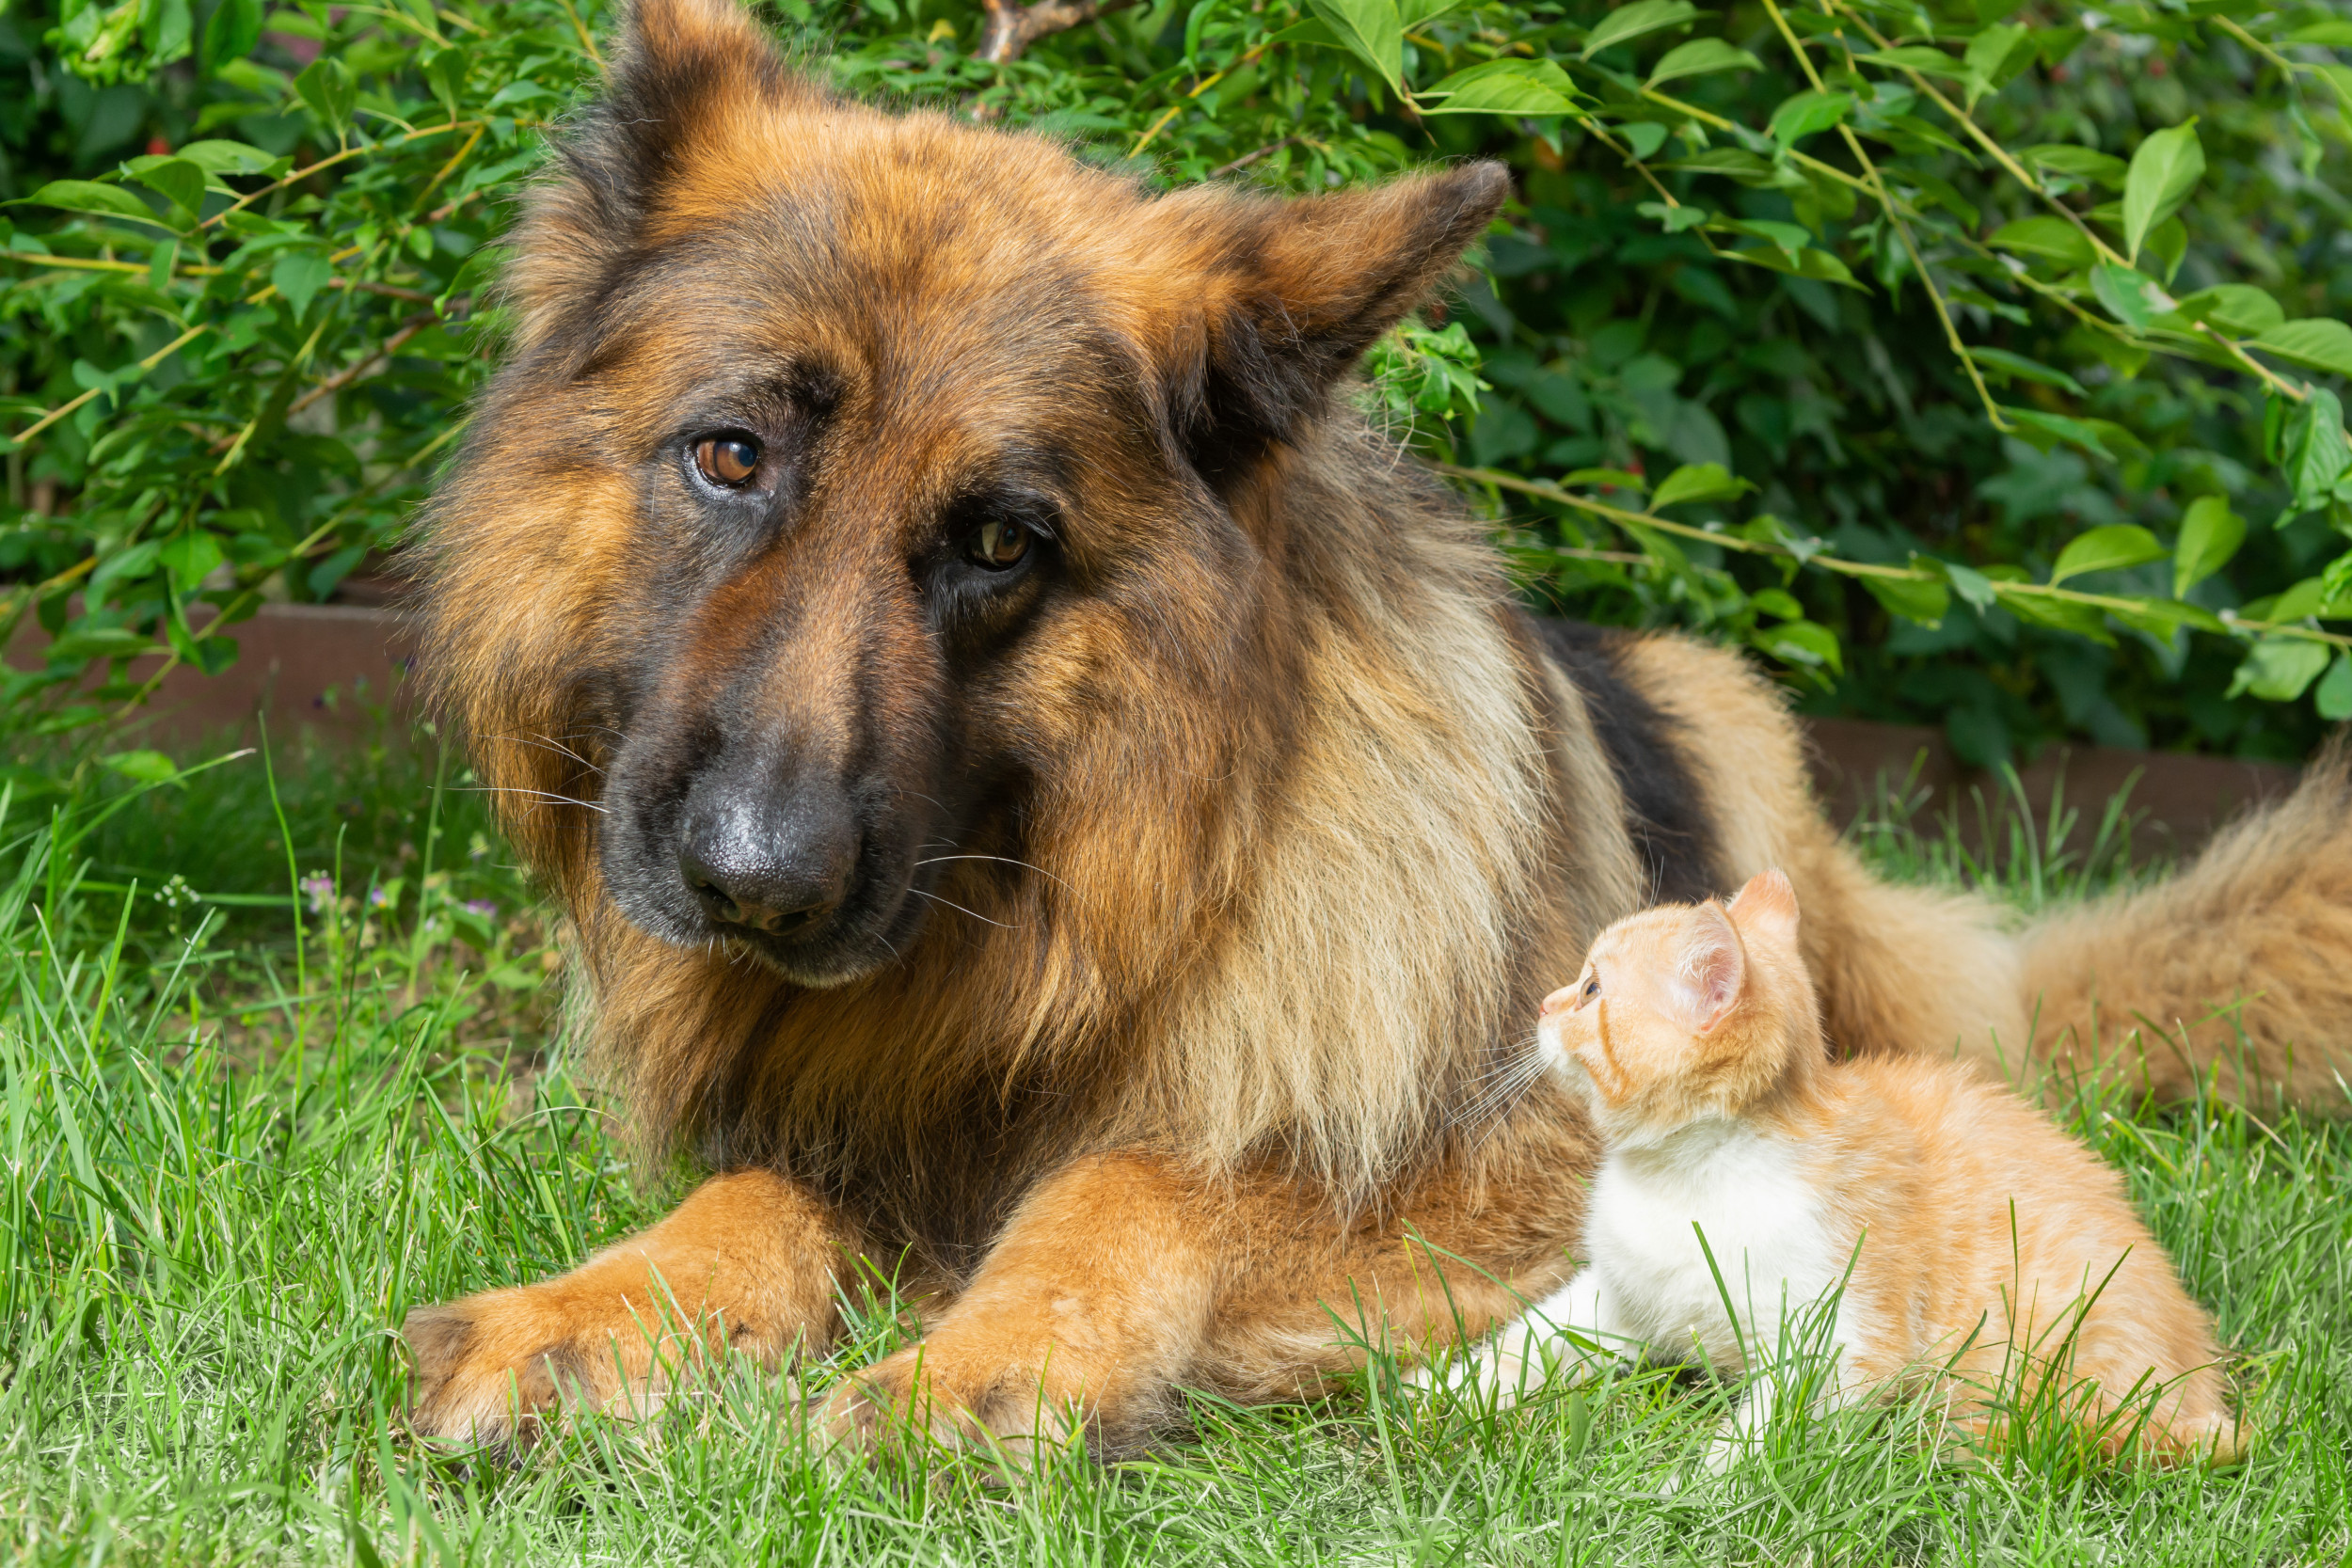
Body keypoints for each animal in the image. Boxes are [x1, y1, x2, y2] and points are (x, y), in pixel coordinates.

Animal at [1411, 869, 2239, 1476]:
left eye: (1591, 990)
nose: (1542, 1004)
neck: (1687, 1174)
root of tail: (2201, 1374)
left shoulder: (1842, 1344)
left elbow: (1757, 1436)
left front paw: (1690, 1493)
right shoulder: (1616, 1297)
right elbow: (1528, 1342)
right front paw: (1438, 1394)